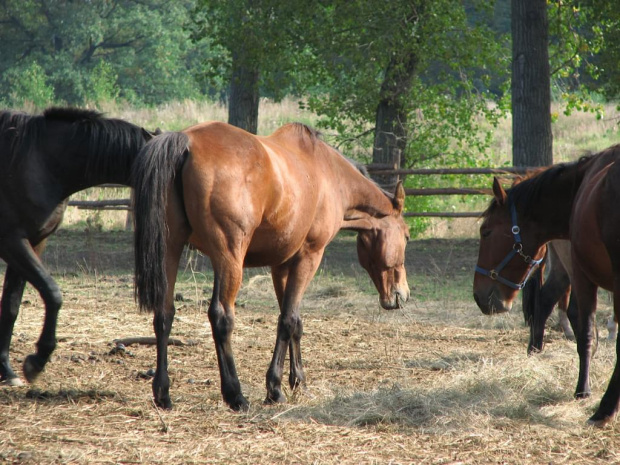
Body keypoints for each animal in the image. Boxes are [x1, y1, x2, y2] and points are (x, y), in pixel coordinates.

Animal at [0, 107, 155, 386]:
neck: (38, 160)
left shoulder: (33, 242)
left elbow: (10, 306)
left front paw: (7, 370)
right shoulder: (12, 242)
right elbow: (52, 293)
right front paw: (37, 361)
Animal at [132, 120, 412, 410]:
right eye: (406, 236)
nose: (403, 293)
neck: (330, 176)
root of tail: (186, 140)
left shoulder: (282, 266)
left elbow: (294, 321)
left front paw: (298, 382)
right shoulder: (309, 257)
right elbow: (287, 321)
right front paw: (275, 389)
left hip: (171, 248)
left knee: (164, 314)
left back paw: (163, 393)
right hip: (229, 257)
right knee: (221, 317)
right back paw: (235, 395)